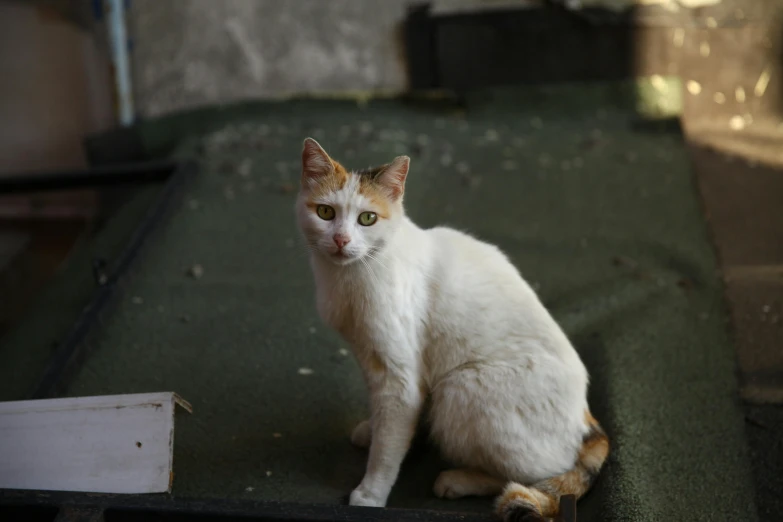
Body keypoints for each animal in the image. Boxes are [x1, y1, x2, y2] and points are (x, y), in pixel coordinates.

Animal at [298, 136, 608, 516]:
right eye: (325, 213)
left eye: (367, 219)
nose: (342, 240)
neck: (349, 277)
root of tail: (587, 420)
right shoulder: (371, 360)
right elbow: (384, 419)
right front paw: (372, 429)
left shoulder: (400, 377)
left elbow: (387, 449)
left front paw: (371, 494)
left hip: (459, 389)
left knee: (531, 476)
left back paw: (457, 481)